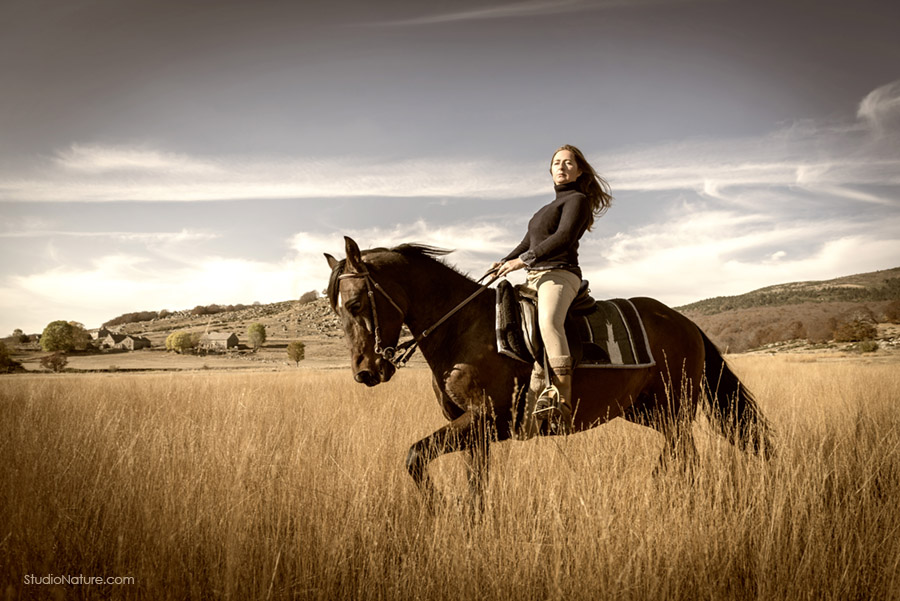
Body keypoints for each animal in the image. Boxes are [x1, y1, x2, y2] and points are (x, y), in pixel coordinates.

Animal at [324, 237, 772, 504]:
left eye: (356, 304)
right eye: (335, 309)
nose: (365, 372)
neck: (462, 326)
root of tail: (685, 321)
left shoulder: (485, 419)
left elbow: (415, 455)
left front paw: (437, 509)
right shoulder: (474, 429)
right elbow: (475, 482)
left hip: (673, 406)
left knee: (682, 454)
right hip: (647, 410)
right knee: (682, 453)